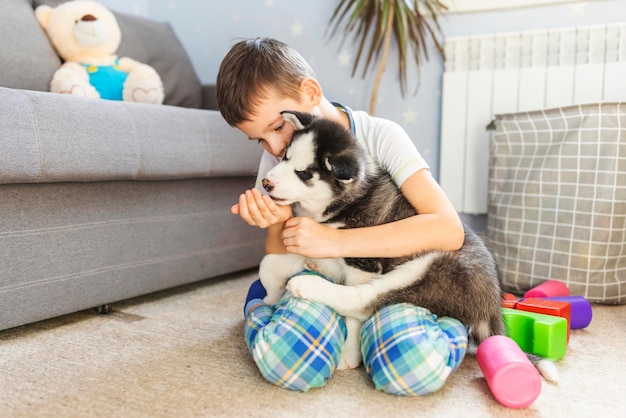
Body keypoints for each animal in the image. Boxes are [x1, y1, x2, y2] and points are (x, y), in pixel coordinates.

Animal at [258, 111, 552, 378]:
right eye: (285, 156)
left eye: (304, 173)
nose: (266, 183)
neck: (341, 204)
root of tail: (491, 304)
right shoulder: (315, 247)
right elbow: (269, 263)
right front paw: (270, 297)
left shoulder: (362, 262)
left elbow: (354, 314)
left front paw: (349, 352)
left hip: (430, 269)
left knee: (364, 299)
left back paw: (307, 285)